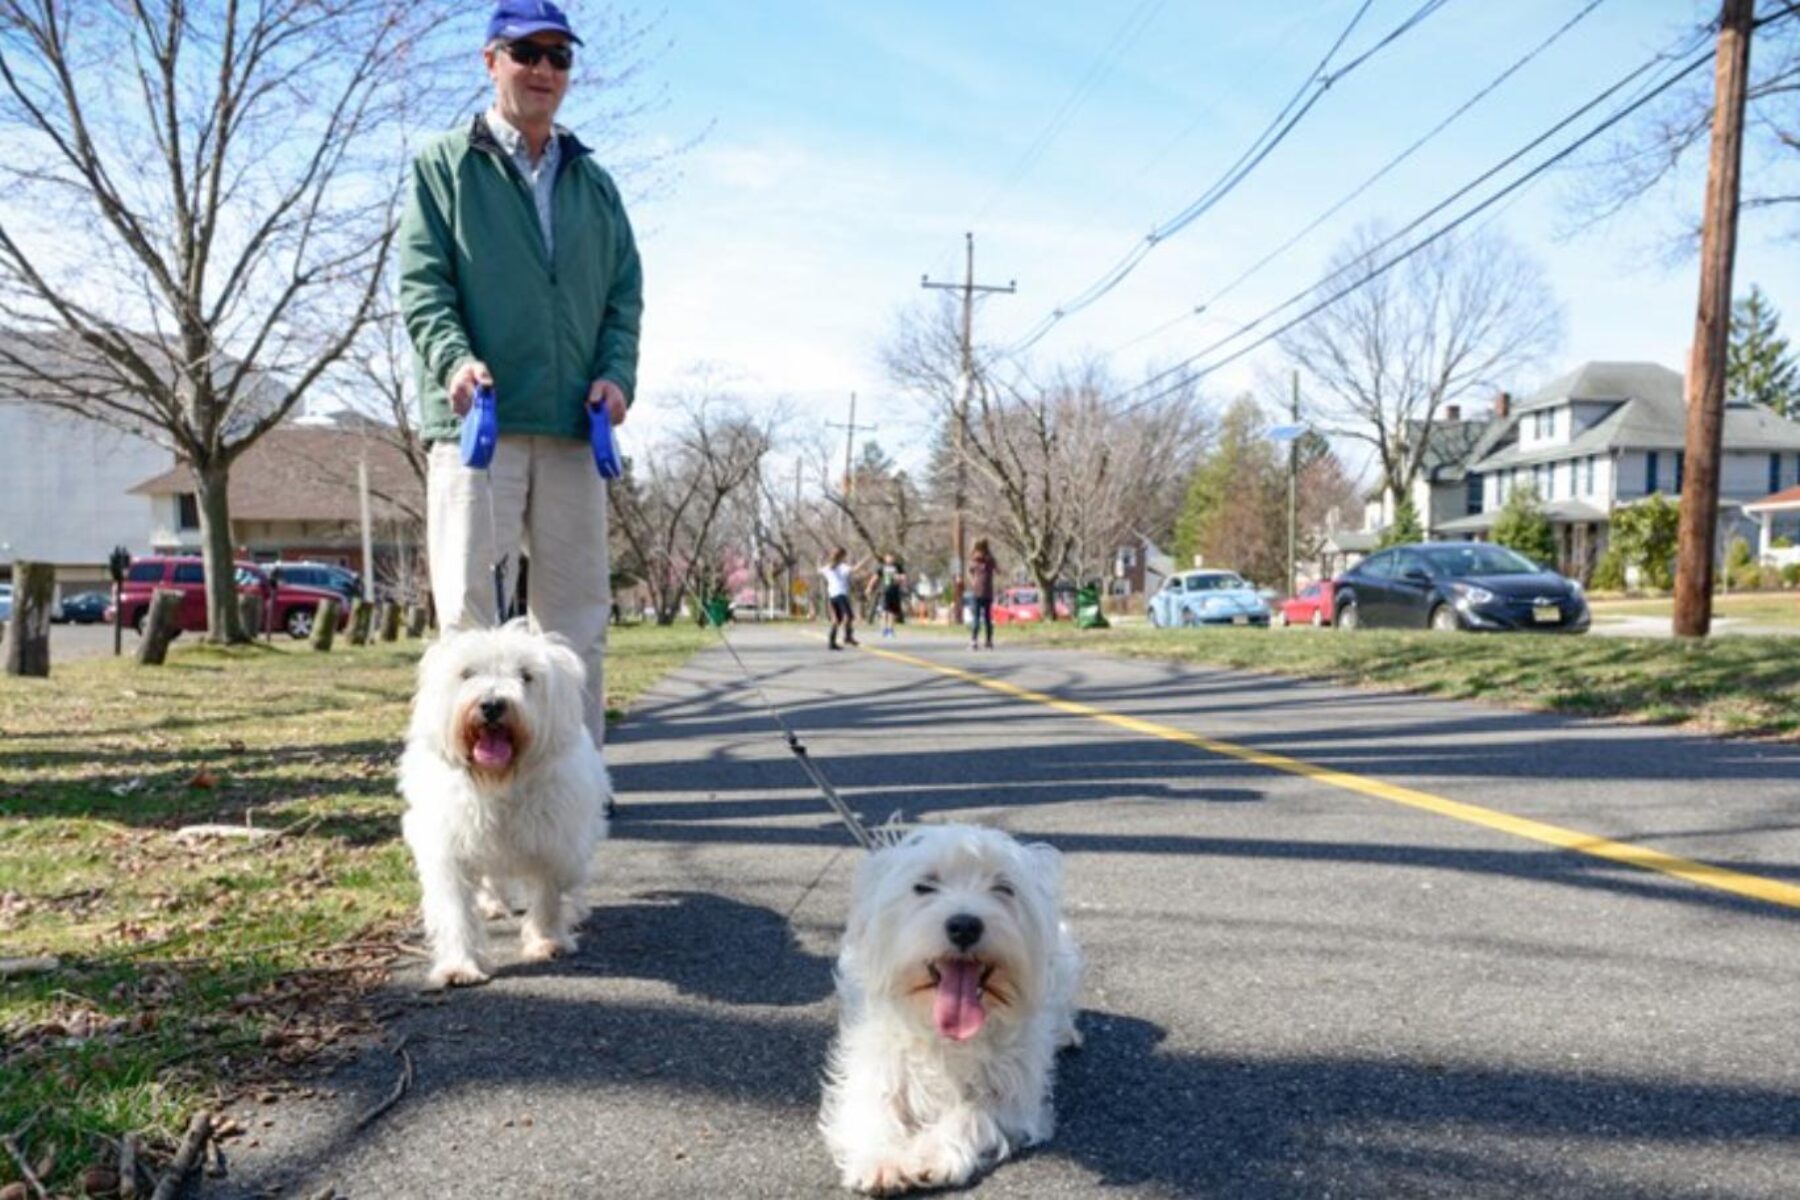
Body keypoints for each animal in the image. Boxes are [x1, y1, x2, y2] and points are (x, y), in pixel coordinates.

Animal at [399, 626, 612, 993]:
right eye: (467, 673)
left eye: (526, 675)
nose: (492, 705)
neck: (499, 782)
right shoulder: (449, 848)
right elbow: (456, 912)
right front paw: (460, 965)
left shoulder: (554, 842)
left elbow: (548, 896)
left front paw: (547, 941)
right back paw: (492, 905)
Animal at [820, 827, 1080, 1194]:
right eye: (924, 886)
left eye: (1004, 888)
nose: (965, 926)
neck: (942, 1032)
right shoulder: (873, 1057)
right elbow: (873, 1104)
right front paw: (882, 1159)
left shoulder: (1016, 1092)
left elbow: (972, 1112)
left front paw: (931, 1154)